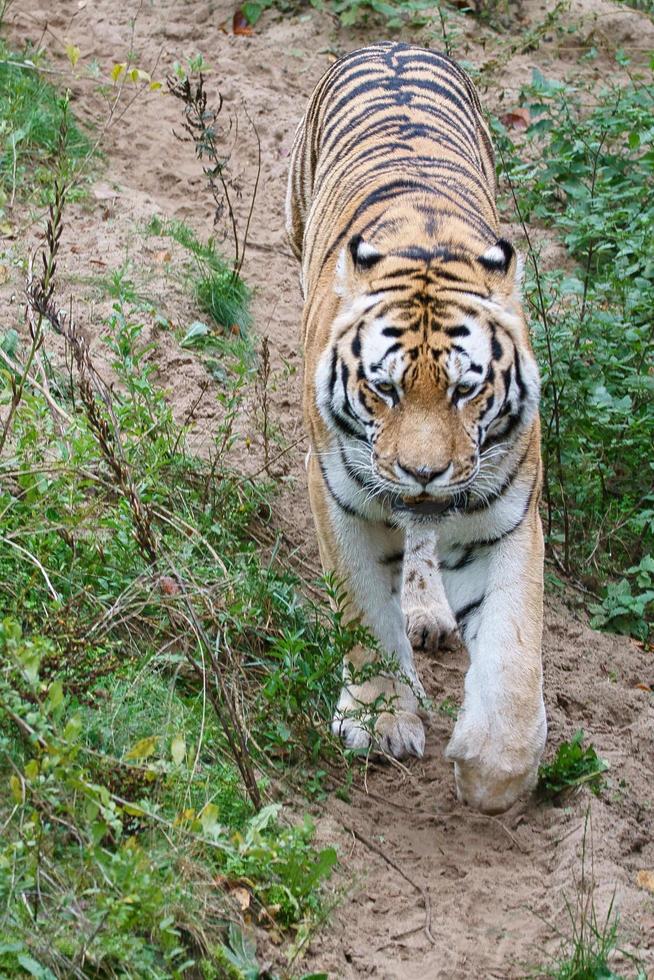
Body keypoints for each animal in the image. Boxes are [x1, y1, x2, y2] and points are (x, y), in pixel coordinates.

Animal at [288, 42, 548, 816]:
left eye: (467, 390)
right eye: (384, 389)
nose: (423, 473)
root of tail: (393, 44)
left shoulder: (509, 510)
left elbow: (515, 647)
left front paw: (493, 771)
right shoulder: (338, 494)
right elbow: (363, 611)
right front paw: (380, 724)